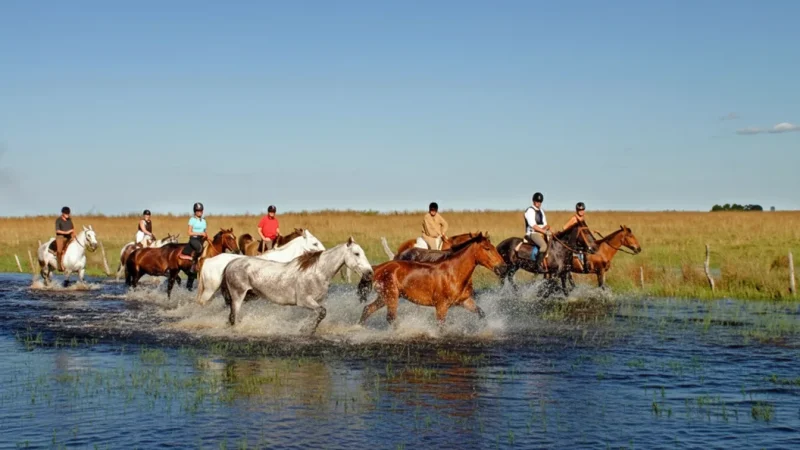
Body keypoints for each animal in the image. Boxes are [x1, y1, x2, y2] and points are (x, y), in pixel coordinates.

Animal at [221, 237, 373, 333]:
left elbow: (318, 313)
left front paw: (307, 328)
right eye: (357, 253)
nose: (370, 272)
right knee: (234, 317)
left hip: (250, 296)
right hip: (238, 296)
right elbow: (322, 312)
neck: (318, 272)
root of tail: (230, 264)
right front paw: (307, 330)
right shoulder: (304, 301)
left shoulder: (317, 301)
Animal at [359, 233, 504, 327]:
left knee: (367, 309)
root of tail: (378, 267)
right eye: (487, 248)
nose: (503, 267)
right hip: (391, 297)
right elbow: (440, 327)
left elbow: (481, 313)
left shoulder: (464, 301)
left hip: (385, 297)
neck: (453, 272)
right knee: (391, 319)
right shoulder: (441, 306)